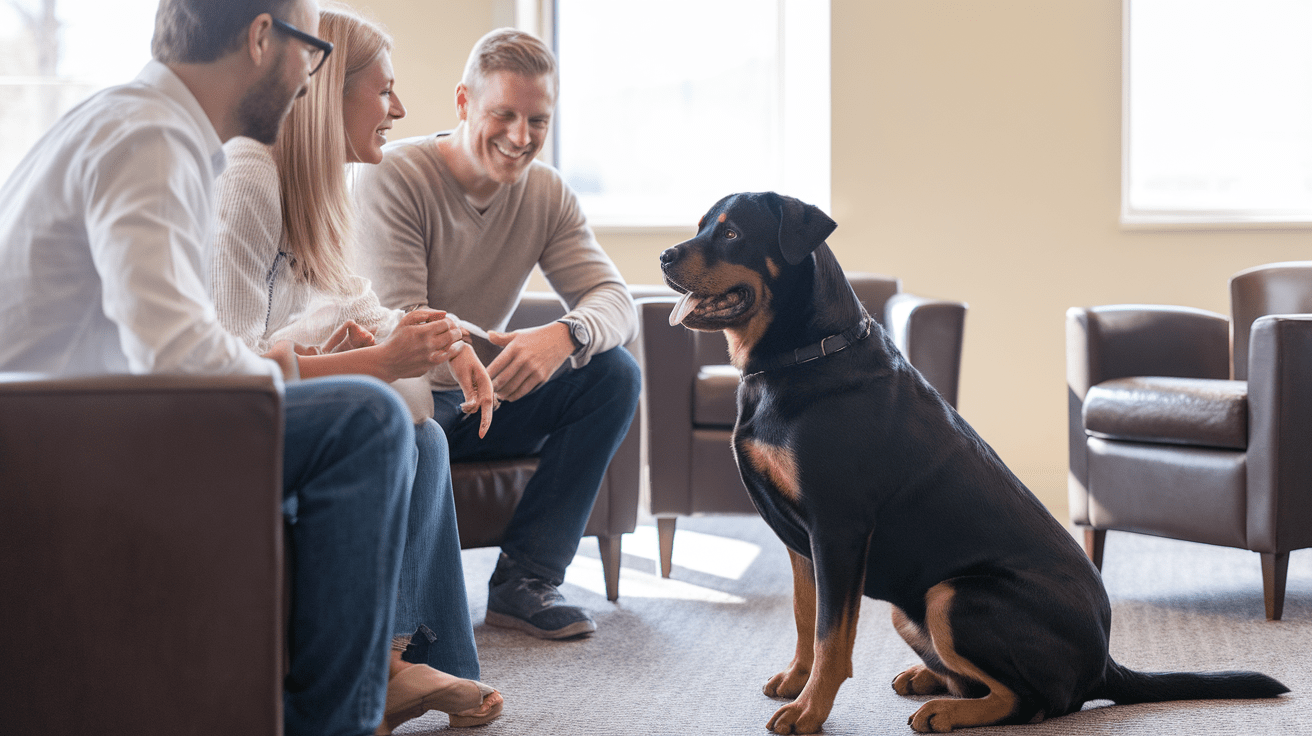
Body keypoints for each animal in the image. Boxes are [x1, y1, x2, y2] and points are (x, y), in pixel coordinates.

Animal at [661, 192, 1285, 729]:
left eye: (732, 233)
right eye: (702, 225)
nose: (665, 256)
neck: (801, 356)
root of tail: (1106, 661)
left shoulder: (837, 529)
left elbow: (831, 636)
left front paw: (809, 711)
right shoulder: (802, 541)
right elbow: (803, 615)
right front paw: (796, 681)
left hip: (952, 594)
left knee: (1040, 702)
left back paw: (947, 710)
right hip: (911, 605)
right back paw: (930, 679)